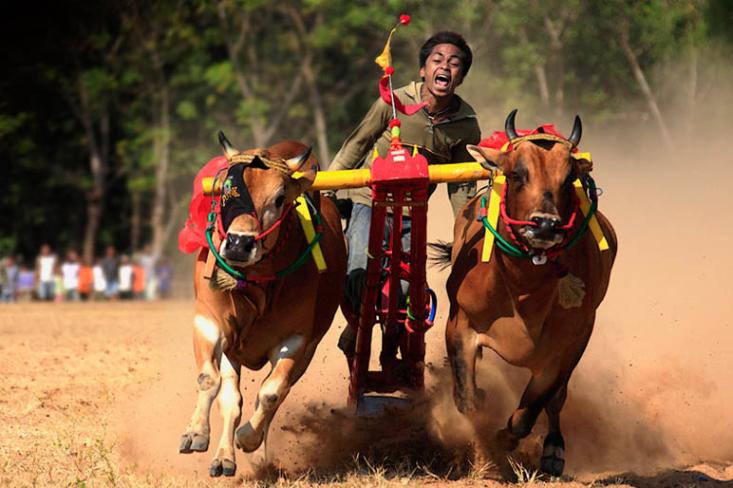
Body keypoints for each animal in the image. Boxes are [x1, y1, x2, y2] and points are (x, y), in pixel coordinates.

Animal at [179, 136, 348, 476]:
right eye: (227, 190)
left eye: (280, 198)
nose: (238, 244)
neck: (256, 288)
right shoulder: (209, 322)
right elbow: (210, 380)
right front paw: (195, 433)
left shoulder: (296, 341)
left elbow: (271, 394)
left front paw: (249, 439)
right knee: (231, 399)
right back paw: (223, 457)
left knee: (275, 395)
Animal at [432, 111, 616, 476]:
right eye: (517, 173)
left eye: (569, 177)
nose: (544, 225)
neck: (523, 292)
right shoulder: (460, 324)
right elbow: (467, 400)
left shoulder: (565, 348)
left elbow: (528, 412)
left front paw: (504, 441)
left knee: (557, 401)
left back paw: (554, 449)